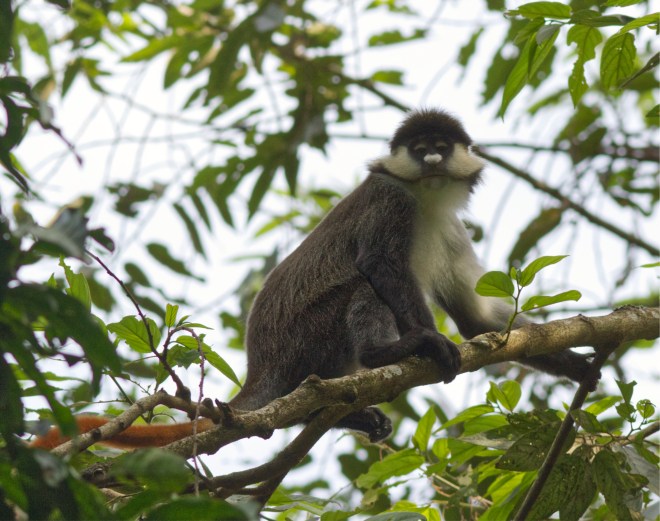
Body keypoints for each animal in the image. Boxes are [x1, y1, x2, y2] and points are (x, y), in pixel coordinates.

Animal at [32, 108, 592, 449]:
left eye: (440, 145)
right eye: (417, 149)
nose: (432, 158)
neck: (426, 200)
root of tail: (262, 367)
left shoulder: (452, 231)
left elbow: (479, 323)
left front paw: (581, 366)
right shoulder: (390, 202)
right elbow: (380, 267)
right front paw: (431, 342)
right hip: (307, 336)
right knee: (363, 290)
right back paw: (384, 355)